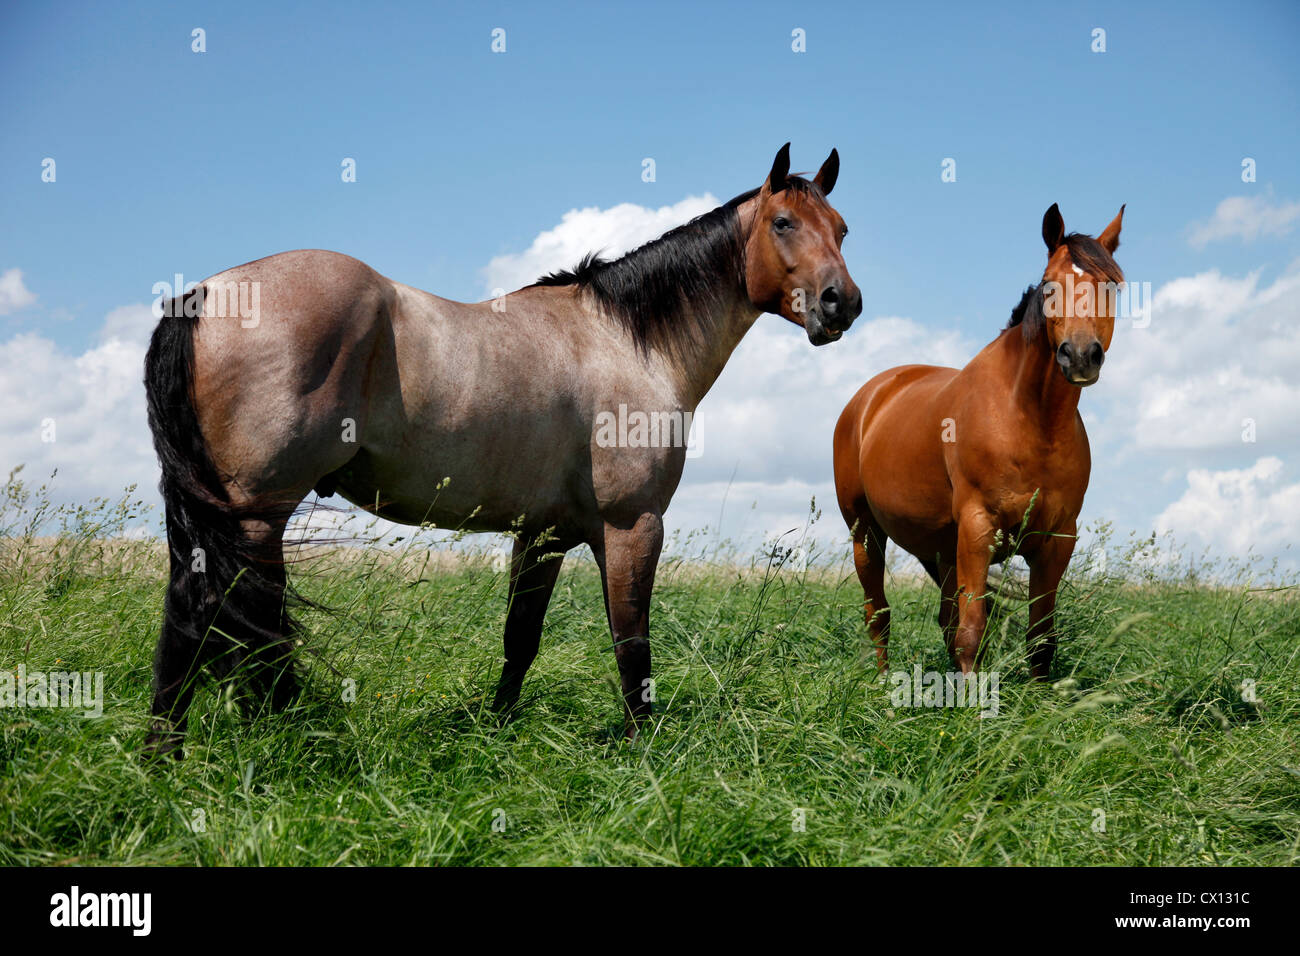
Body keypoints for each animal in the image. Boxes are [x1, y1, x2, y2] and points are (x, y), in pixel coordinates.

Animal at [143, 143, 863, 759]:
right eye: (783, 223)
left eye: (842, 229)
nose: (842, 304)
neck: (626, 341)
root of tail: (203, 296)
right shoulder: (632, 526)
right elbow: (631, 642)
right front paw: (641, 748)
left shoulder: (542, 536)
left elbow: (521, 639)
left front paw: (497, 735)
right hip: (255, 517)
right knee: (218, 619)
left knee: (193, 618)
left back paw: (163, 756)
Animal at [833, 203, 1124, 680]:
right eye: (1050, 284)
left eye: (1112, 286)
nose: (1080, 355)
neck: (1029, 421)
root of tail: (870, 396)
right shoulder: (977, 528)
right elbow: (972, 630)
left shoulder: (1056, 540)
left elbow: (1040, 638)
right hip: (866, 533)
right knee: (879, 614)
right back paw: (882, 681)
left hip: (943, 550)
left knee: (944, 618)